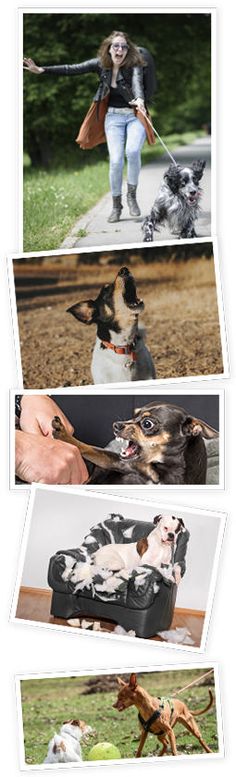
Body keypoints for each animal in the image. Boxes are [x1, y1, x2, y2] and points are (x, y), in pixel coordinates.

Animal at [52, 400, 218, 484]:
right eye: (133, 415)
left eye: (147, 424)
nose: (116, 425)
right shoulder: (118, 462)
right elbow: (87, 447)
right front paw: (63, 433)